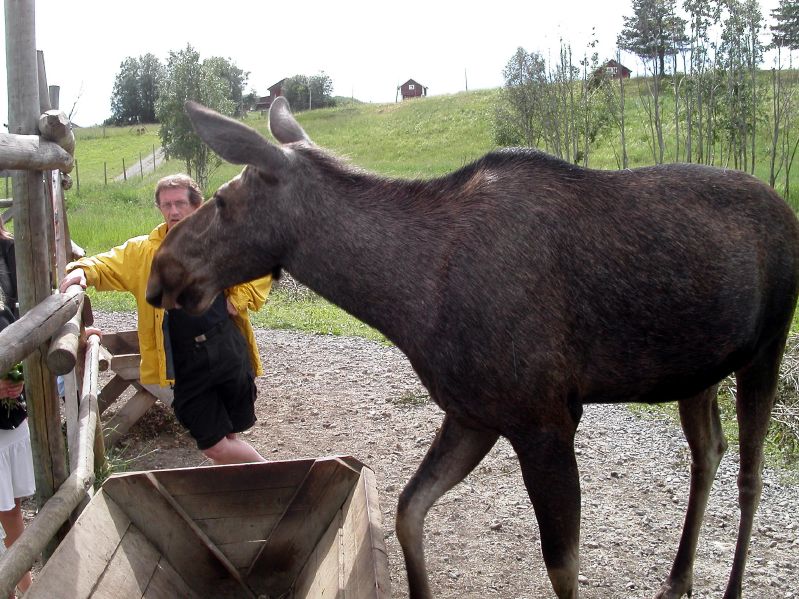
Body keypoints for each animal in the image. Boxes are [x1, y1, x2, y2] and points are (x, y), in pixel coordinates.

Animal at [145, 99, 799, 599]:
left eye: (222, 201)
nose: (160, 270)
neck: (408, 303)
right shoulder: (474, 413)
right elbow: (408, 510)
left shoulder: (543, 418)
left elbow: (563, 568)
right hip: (697, 370)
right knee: (709, 451)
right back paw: (679, 577)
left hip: (766, 346)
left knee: (751, 475)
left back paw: (729, 586)